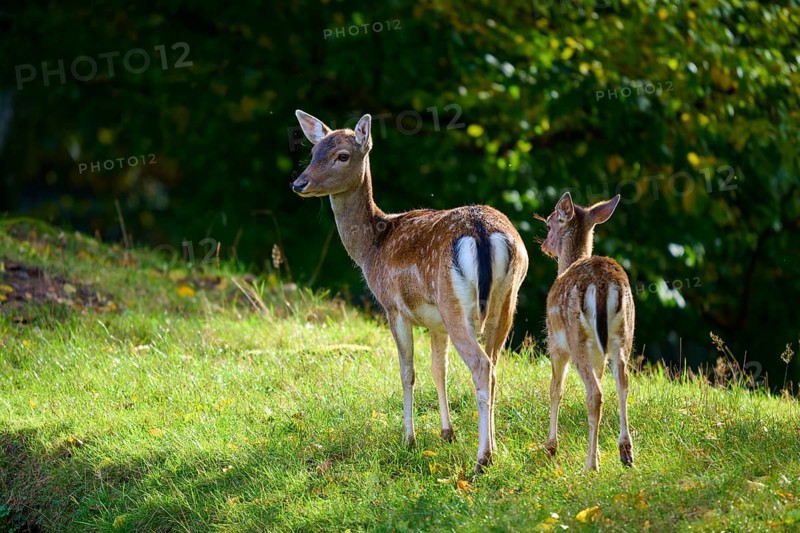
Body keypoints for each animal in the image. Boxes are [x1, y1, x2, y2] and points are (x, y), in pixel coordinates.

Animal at [291, 110, 529, 472]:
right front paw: (447, 433)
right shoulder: (435, 321)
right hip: (506, 301)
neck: (371, 248)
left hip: (455, 304)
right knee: (494, 366)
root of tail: (483, 232)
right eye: (314, 151)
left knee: (480, 365)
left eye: (342, 155)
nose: (298, 183)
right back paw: (495, 448)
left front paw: (409, 439)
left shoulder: (394, 308)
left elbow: (407, 372)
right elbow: (438, 370)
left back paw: (482, 459)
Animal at [538, 192, 635, 471]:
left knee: (595, 394)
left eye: (549, 224)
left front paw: (551, 447)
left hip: (576, 339)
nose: (544, 245)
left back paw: (590, 465)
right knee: (622, 382)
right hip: (623, 334)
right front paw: (600, 452)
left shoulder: (556, 343)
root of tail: (602, 284)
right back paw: (625, 452)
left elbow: (555, 388)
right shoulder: (599, 354)